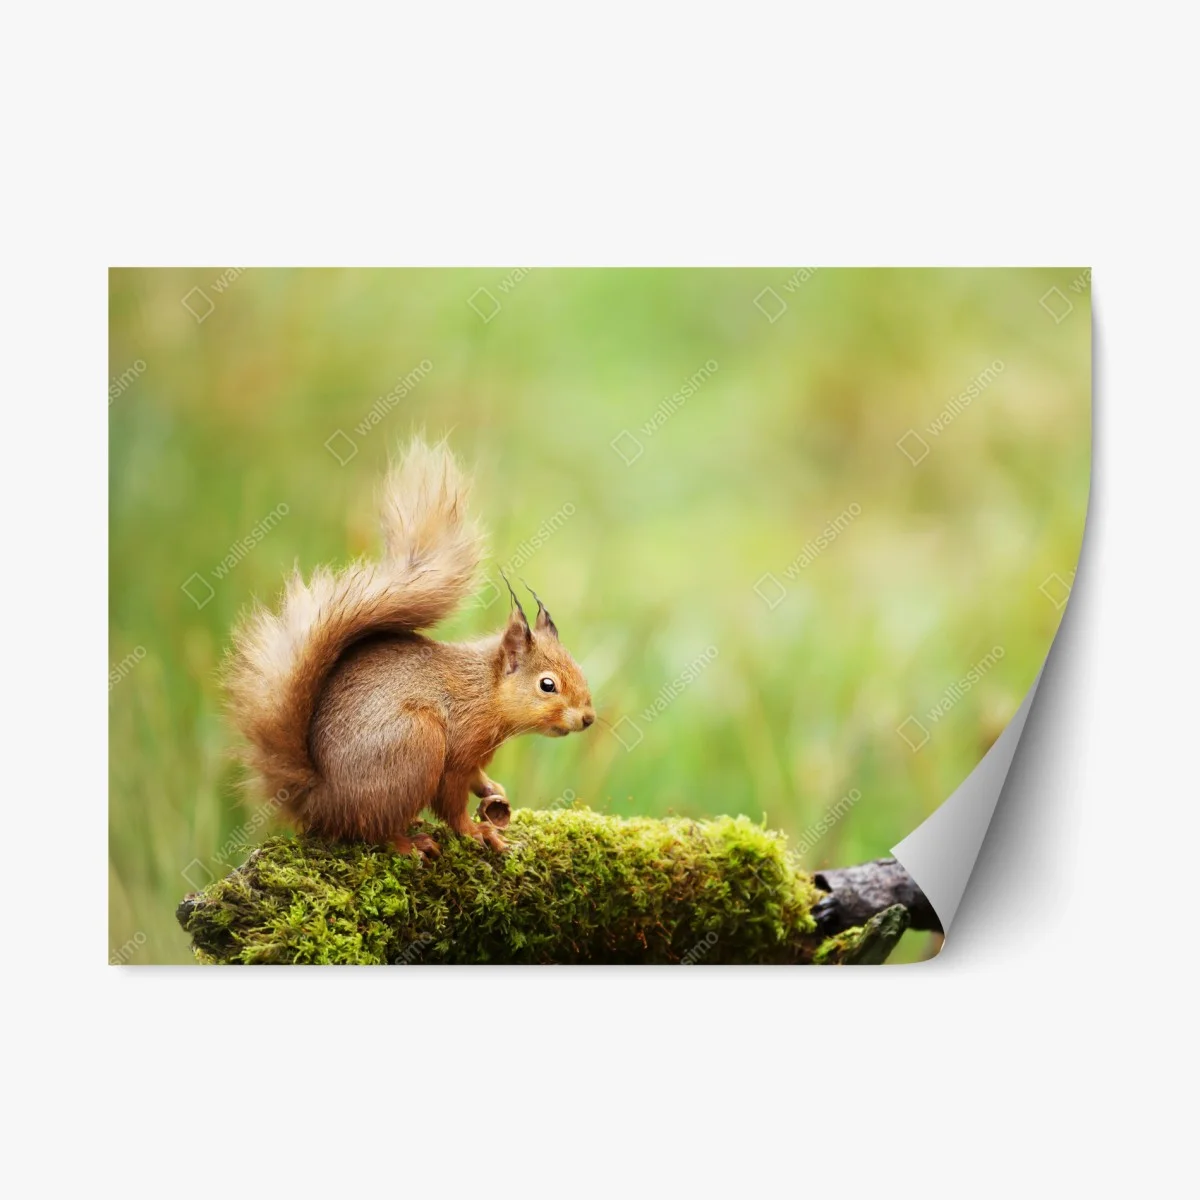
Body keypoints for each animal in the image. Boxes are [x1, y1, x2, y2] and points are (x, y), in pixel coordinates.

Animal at [224, 437, 595, 857]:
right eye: (547, 685)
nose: (588, 718)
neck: (486, 691)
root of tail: (319, 801)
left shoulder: (474, 757)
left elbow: (476, 778)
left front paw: (492, 790)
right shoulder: (458, 751)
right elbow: (451, 800)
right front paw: (476, 831)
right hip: (417, 745)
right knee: (373, 830)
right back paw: (410, 842)